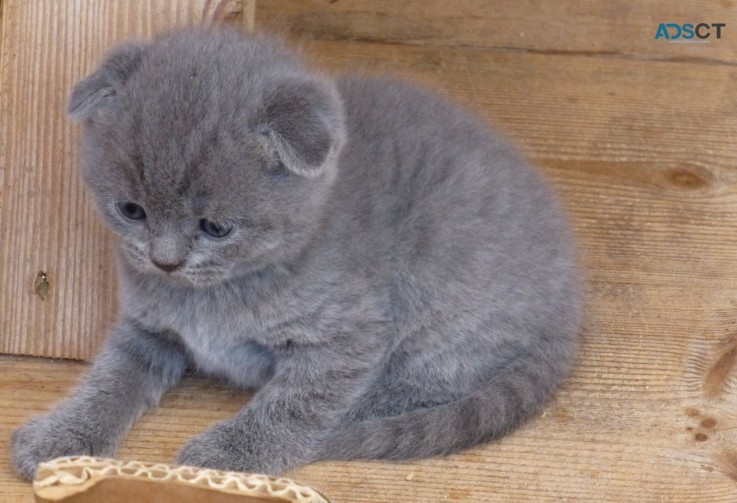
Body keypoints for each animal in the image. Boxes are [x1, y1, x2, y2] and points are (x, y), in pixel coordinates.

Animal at [8, 26, 576, 480]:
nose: (165, 261)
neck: (218, 292)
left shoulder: (349, 337)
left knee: (416, 387)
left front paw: (230, 453)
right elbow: (109, 379)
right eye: (131, 210)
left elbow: (295, 402)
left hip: (440, 300)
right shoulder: (147, 328)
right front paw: (61, 438)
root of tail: (569, 300)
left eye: (216, 227)